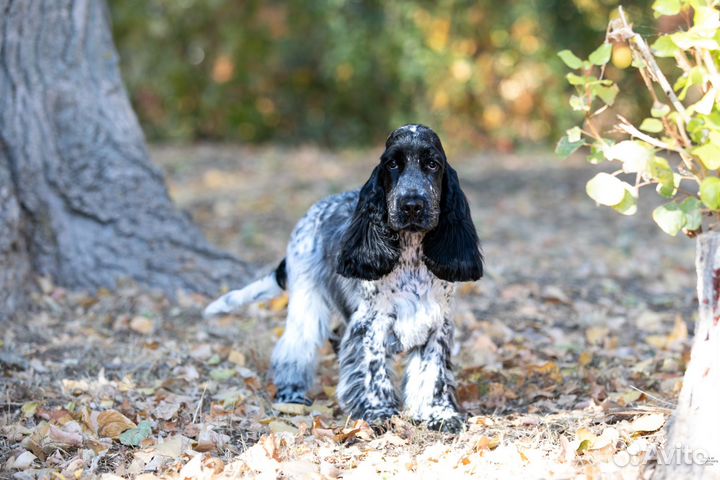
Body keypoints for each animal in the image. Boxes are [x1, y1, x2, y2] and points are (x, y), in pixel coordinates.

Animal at [204, 123, 484, 432]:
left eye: (433, 164)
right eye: (392, 164)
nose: (412, 205)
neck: (410, 255)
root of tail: (311, 212)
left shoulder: (437, 323)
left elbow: (433, 374)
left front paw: (439, 415)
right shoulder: (371, 324)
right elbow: (372, 371)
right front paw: (378, 413)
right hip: (307, 300)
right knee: (293, 348)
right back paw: (292, 394)